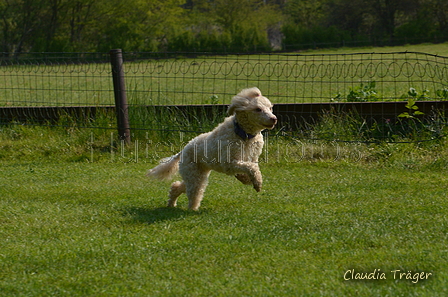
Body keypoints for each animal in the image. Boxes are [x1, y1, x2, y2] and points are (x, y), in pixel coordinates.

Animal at [148, 86, 276, 209]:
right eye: (258, 109)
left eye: (270, 108)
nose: (274, 119)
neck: (243, 134)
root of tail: (183, 150)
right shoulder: (229, 163)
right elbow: (251, 167)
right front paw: (256, 183)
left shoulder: (251, 158)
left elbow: (252, 168)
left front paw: (248, 179)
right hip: (194, 176)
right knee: (194, 194)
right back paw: (192, 209)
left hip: (197, 175)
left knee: (177, 186)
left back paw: (172, 203)